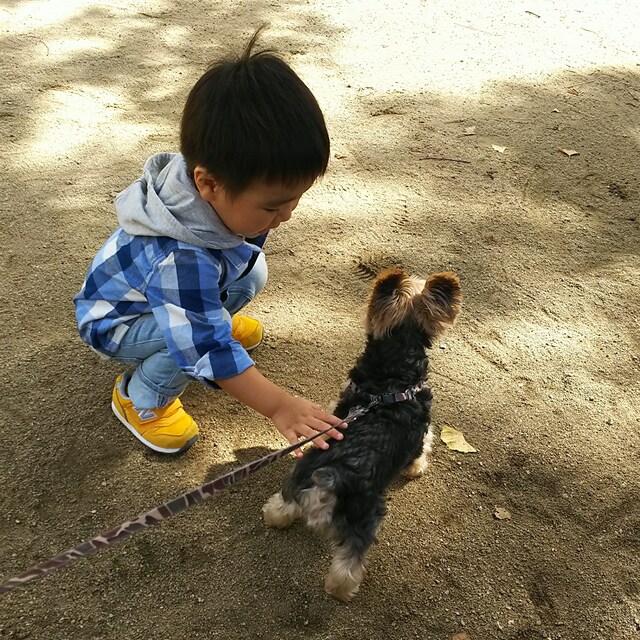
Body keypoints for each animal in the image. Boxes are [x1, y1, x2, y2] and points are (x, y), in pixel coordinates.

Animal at [262, 268, 462, 601]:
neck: (393, 380)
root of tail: (335, 475)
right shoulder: (420, 435)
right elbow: (422, 450)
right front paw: (417, 470)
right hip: (366, 516)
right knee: (348, 564)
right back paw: (342, 592)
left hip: (299, 477)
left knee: (283, 504)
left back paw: (273, 517)